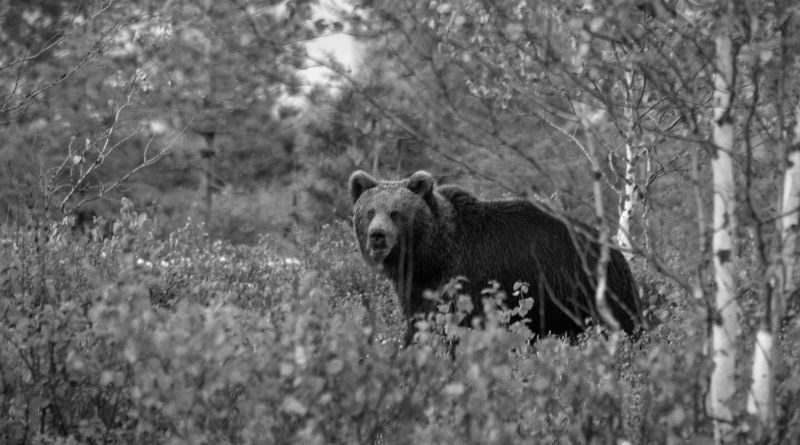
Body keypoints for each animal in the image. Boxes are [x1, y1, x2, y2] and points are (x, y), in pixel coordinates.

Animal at [350, 169, 644, 344]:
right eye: (369, 211)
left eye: (395, 212)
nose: (377, 236)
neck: (430, 257)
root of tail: (616, 250)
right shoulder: (415, 287)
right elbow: (420, 323)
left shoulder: (466, 279)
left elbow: (459, 328)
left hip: (591, 290)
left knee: (623, 324)